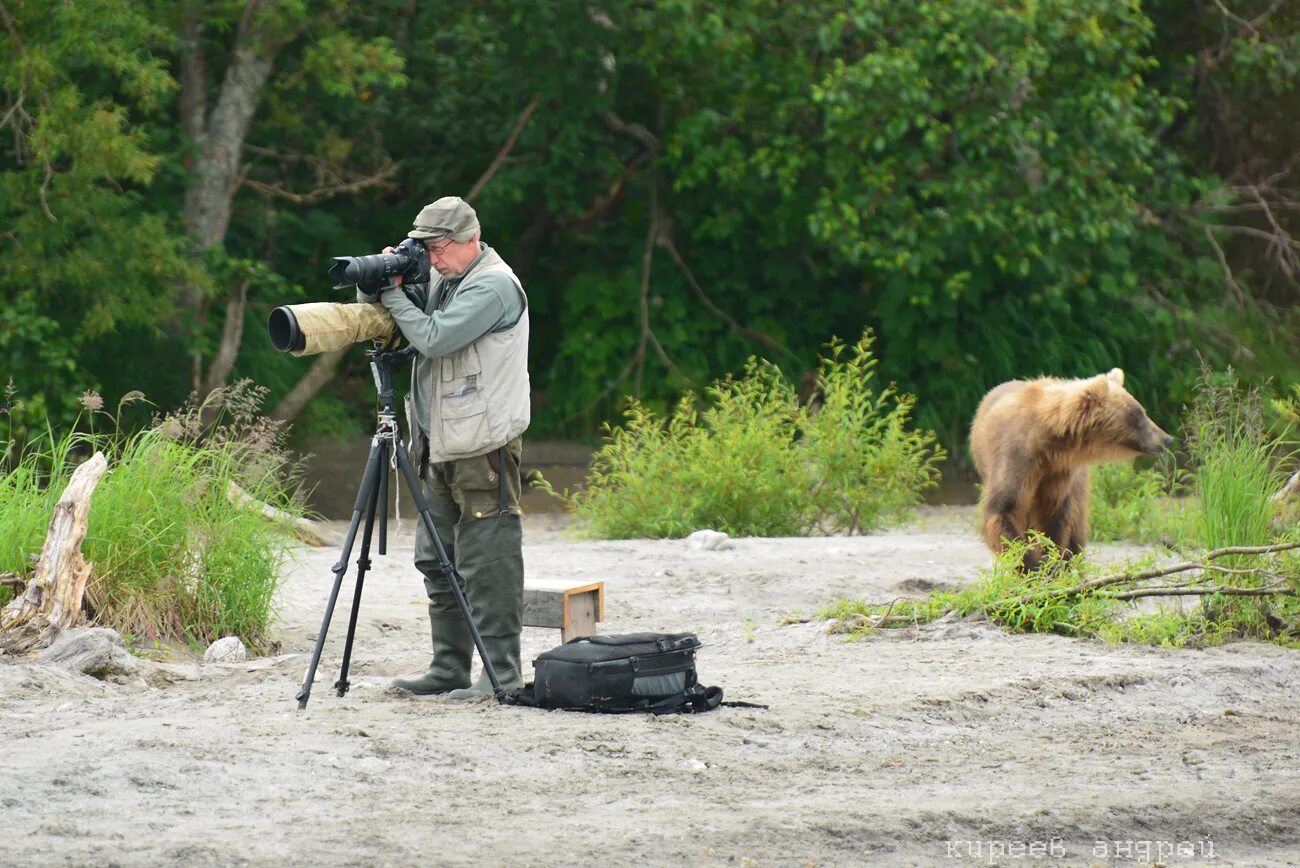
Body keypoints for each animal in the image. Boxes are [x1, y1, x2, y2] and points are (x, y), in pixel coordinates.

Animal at [972, 366, 1175, 569]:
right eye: (1137, 415)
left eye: (1142, 411)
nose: (1167, 439)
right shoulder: (1017, 459)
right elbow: (1003, 510)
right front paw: (1032, 564)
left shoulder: (1059, 472)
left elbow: (1054, 517)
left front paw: (1053, 562)